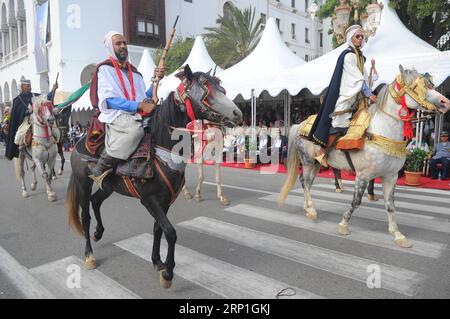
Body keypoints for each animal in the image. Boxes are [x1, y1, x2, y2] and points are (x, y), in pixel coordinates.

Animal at [280, 66, 448, 249]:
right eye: (417, 87)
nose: (445, 102)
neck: (380, 132)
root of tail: (300, 124)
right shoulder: (363, 175)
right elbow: (356, 201)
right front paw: (344, 224)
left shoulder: (391, 176)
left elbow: (390, 205)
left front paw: (397, 235)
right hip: (308, 161)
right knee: (305, 182)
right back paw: (311, 209)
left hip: (317, 164)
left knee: (306, 182)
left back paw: (308, 207)